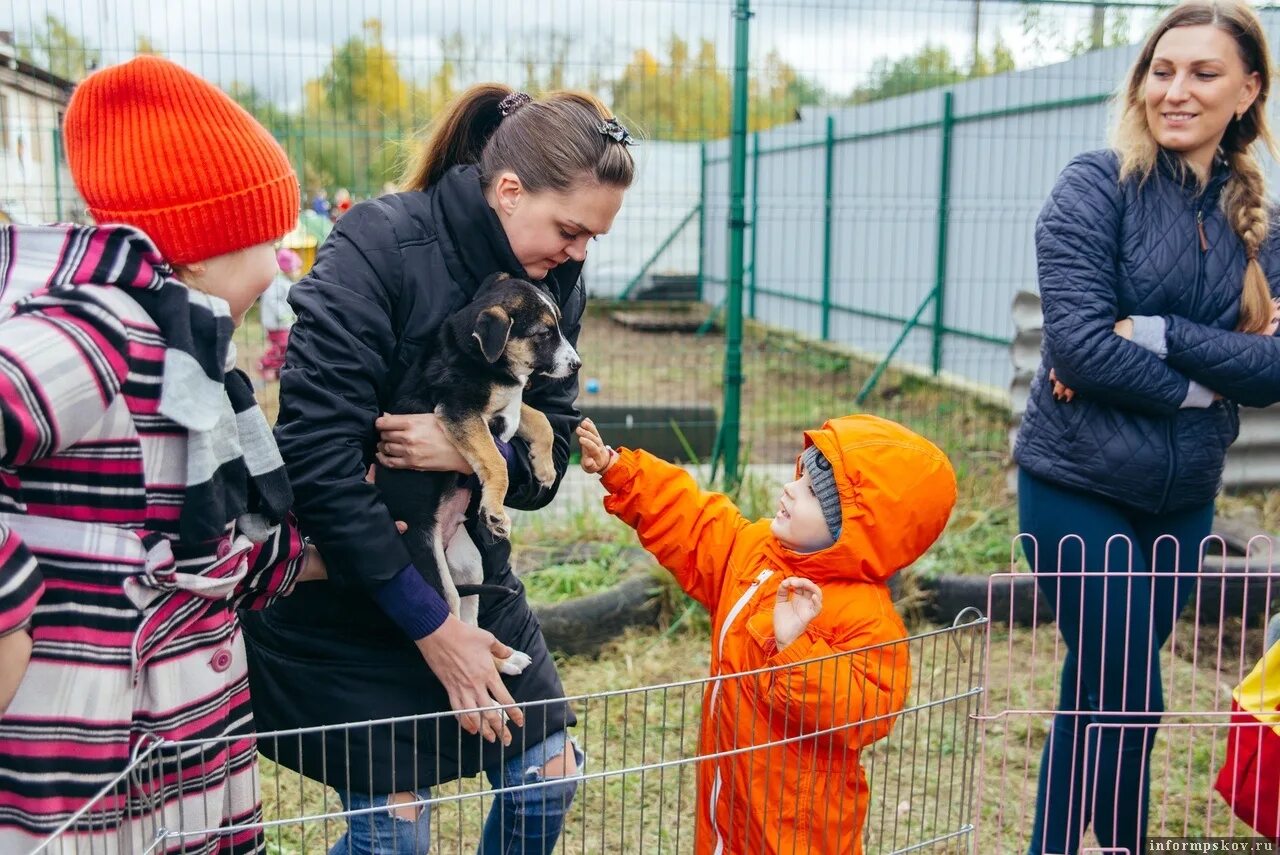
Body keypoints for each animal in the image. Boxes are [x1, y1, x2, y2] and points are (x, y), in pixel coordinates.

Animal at [376, 273, 583, 675]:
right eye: (543, 333)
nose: (577, 364)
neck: (480, 356)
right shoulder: (460, 412)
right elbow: (496, 459)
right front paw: (495, 512)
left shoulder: (509, 407)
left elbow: (540, 420)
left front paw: (544, 468)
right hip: (433, 572)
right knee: (454, 621)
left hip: (471, 565)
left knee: (473, 622)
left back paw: (505, 661)